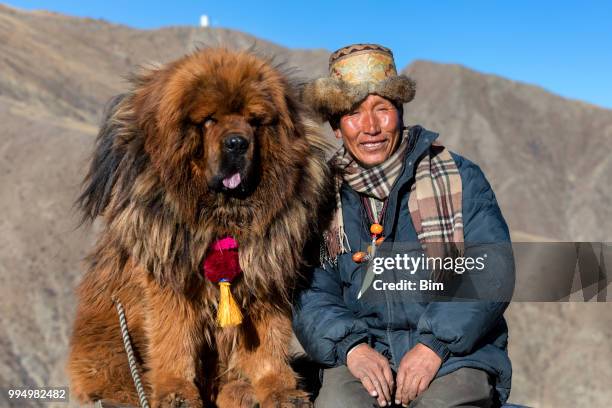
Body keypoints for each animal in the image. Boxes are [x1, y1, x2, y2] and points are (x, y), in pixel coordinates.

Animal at [67, 48, 332, 408]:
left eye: (254, 120)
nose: (237, 143)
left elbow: (269, 339)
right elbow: (173, 337)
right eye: (208, 120)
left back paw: (240, 390)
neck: (223, 217)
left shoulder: (265, 275)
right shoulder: (171, 282)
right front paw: (176, 392)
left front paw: (279, 389)